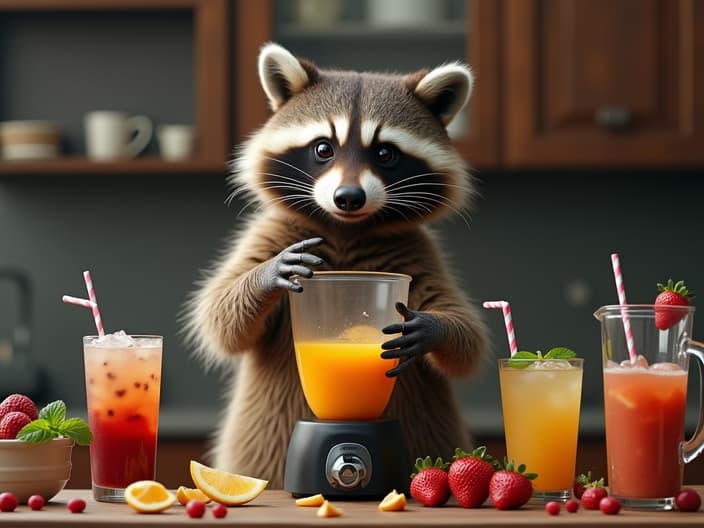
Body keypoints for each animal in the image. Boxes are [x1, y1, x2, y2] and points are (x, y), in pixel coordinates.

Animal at [190, 43, 492, 488]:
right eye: (323, 149)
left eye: (385, 153)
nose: (348, 197)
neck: (347, 229)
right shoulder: (273, 232)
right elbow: (221, 318)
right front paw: (267, 274)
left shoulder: (417, 255)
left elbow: (467, 339)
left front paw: (433, 327)